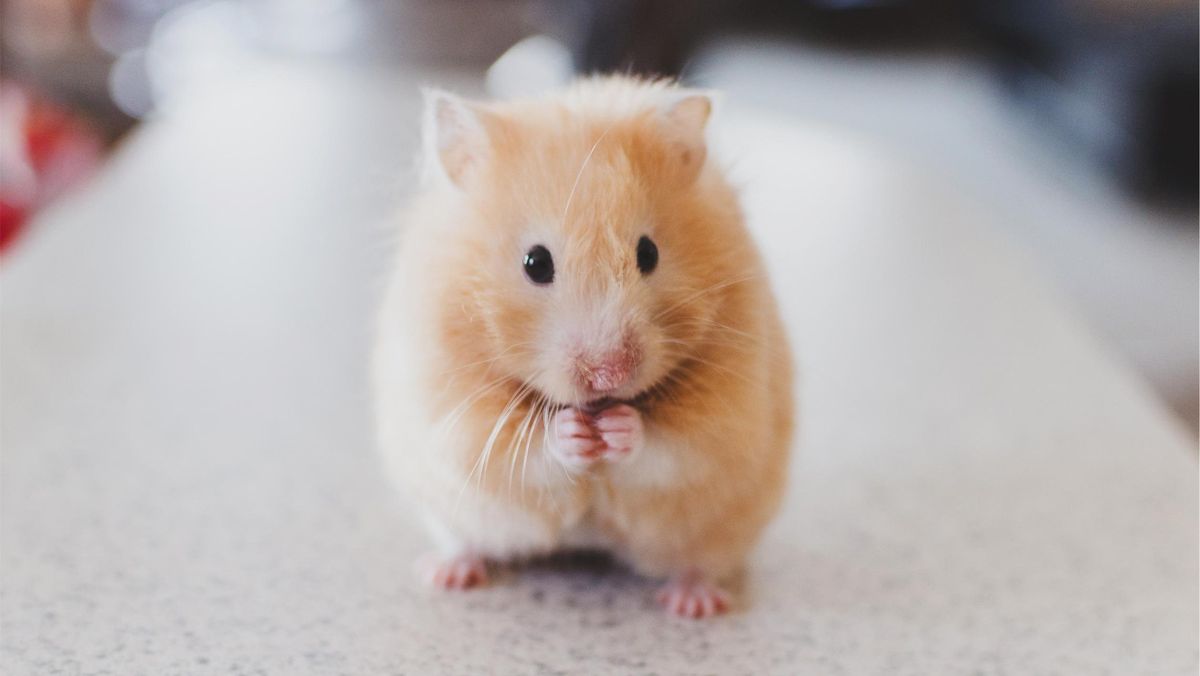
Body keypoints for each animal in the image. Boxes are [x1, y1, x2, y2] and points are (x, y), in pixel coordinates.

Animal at [373, 76, 794, 618]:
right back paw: (446, 574)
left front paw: (618, 428)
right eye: (535, 263)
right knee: (465, 541)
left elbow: (672, 446)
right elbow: (523, 450)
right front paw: (573, 432)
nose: (609, 374)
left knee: (698, 562)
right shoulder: (453, 412)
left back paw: (693, 603)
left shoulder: (728, 415)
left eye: (648, 253)